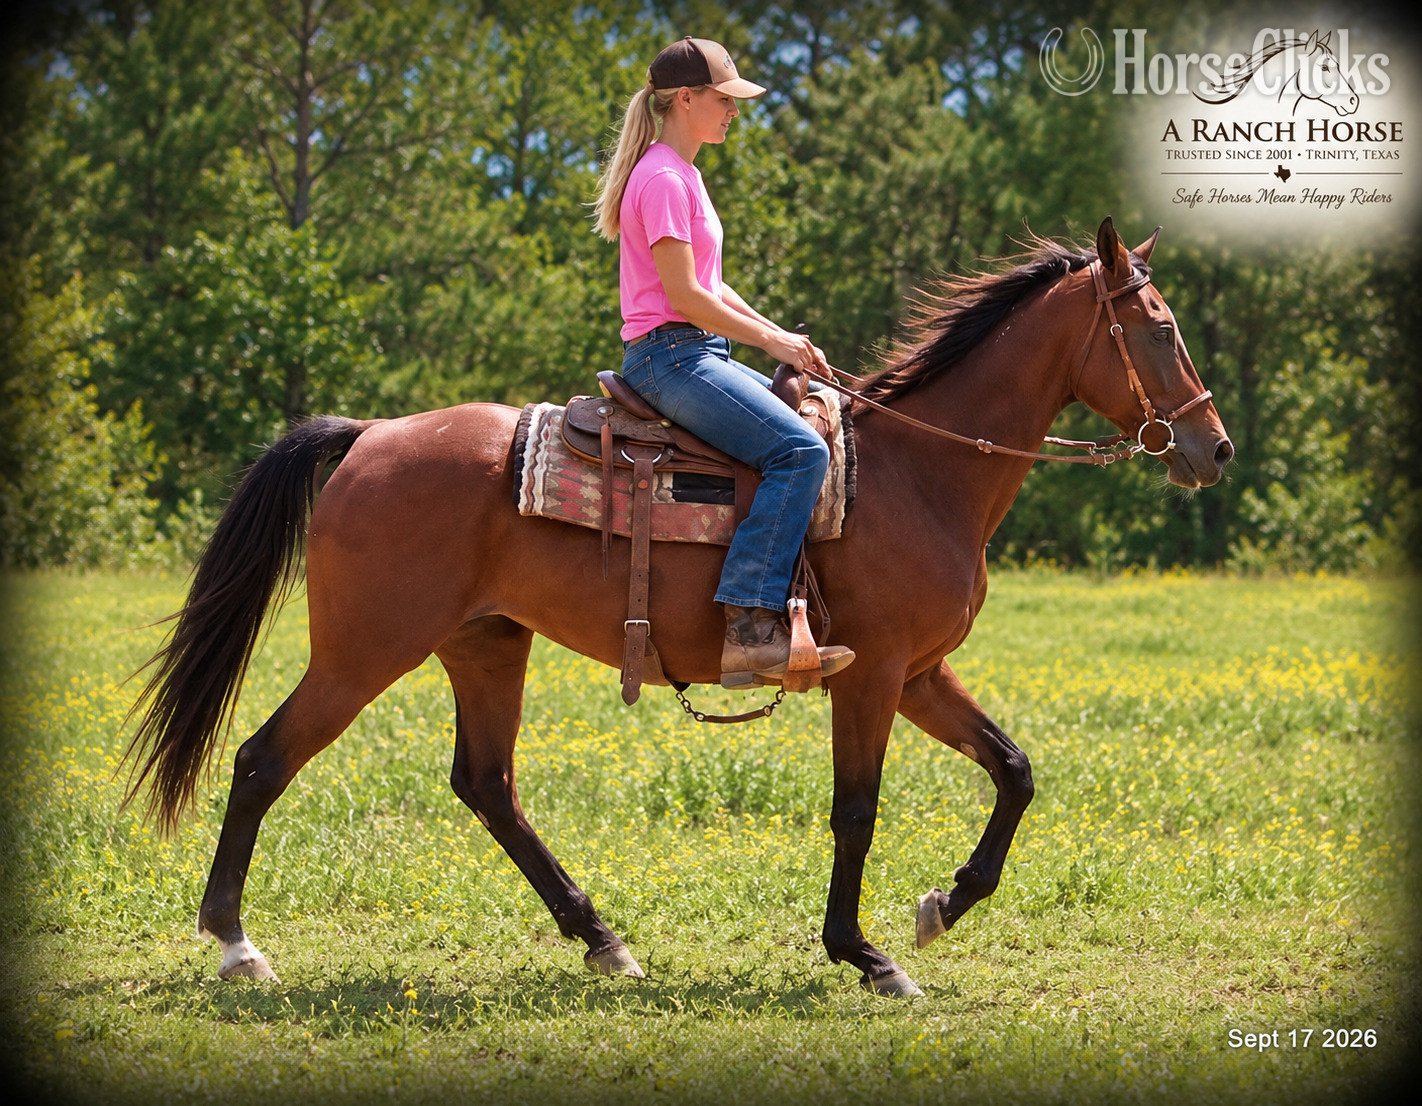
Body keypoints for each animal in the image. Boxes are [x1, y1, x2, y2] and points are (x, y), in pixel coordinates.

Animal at [124, 218, 1233, 997]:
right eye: (1160, 328)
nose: (1213, 448)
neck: (918, 472)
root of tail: (367, 436)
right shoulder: (871, 674)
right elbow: (858, 809)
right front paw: (866, 953)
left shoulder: (919, 672)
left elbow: (1014, 768)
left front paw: (942, 906)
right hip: (363, 651)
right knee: (263, 758)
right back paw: (236, 946)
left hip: (485, 645)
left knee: (487, 784)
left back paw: (604, 940)